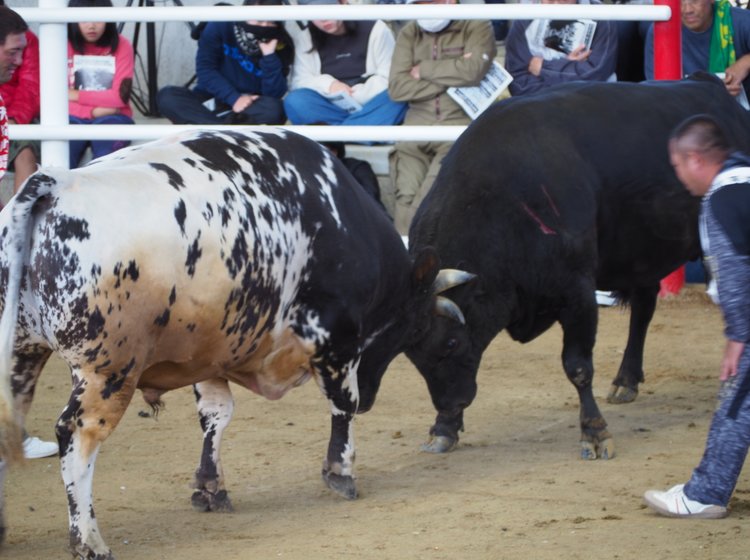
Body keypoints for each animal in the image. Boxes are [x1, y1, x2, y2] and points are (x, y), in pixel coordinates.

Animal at [0, 128, 464, 560]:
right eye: (418, 330)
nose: (371, 397)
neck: (341, 220)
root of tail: (57, 182)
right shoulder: (337, 341)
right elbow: (341, 406)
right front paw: (341, 471)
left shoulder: (210, 353)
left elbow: (216, 415)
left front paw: (210, 486)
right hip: (106, 372)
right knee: (78, 435)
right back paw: (89, 540)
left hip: (21, 353)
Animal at [408, 74, 750, 460]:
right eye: (412, 355)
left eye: (451, 342)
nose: (450, 404)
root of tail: (710, 86)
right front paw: (443, 428)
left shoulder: (576, 291)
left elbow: (578, 366)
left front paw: (595, 432)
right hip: (640, 255)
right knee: (643, 309)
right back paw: (626, 380)